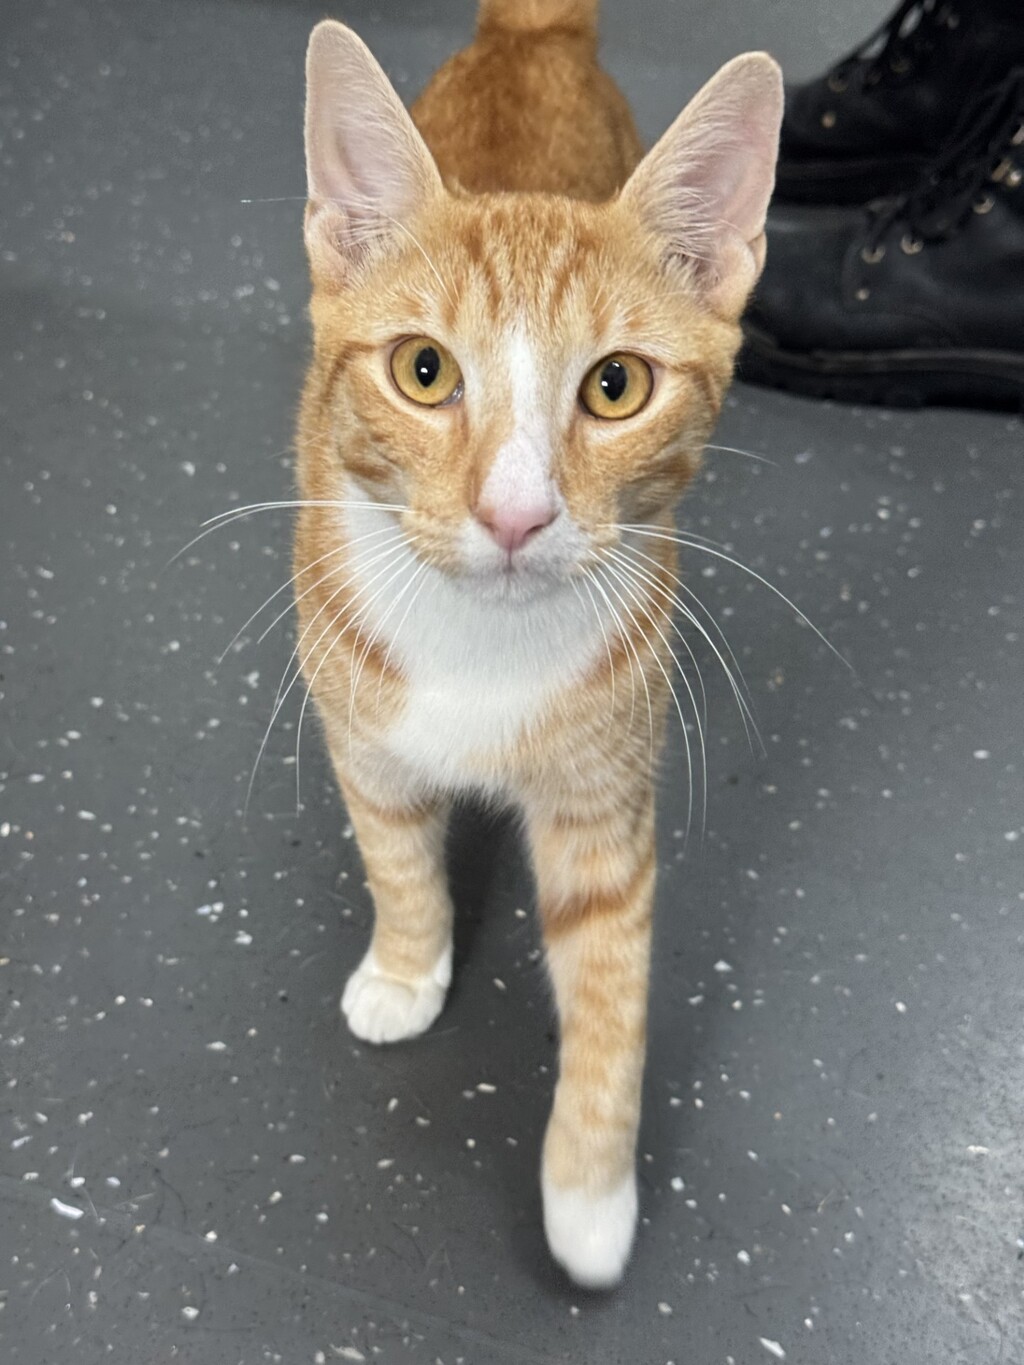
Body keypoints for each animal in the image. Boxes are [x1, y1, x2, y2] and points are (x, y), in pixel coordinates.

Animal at [293, 0, 782, 1288]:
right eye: (422, 371)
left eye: (614, 388)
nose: (515, 515)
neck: (482, 644)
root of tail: (533, 29)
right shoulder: (364, 743)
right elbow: (397, 861)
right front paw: (406, 968)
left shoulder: (601, 807)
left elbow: (611, 989)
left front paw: (589, 1193)